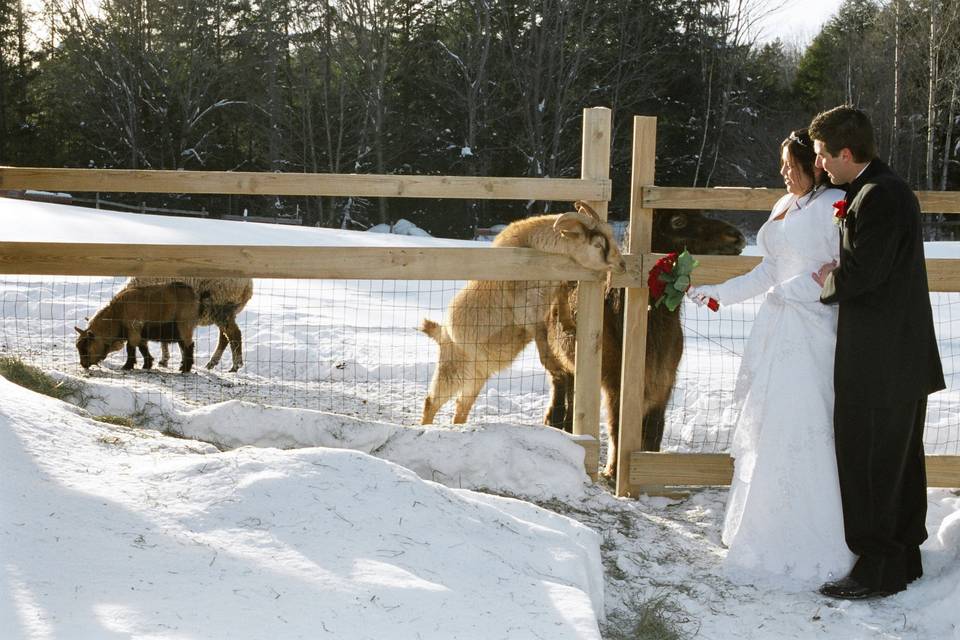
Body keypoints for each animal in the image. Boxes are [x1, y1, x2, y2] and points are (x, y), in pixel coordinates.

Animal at [125, 276, 253, 370]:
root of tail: (248, 285)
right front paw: (170, 360)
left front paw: (166, 360)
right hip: (225, 312)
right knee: (225, 337)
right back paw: (212, 363)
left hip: (221, 307)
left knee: (234, 334)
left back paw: (236, 365)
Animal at [418, 201, 628, 424]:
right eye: (598, 245)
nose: (622, 265)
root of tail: (442, 333)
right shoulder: (527, 312)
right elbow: (542, 341)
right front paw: (556, 368)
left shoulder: (553, 290)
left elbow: (561, 296)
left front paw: (569, 324)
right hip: (453, 368)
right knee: (431, 401)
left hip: (476, 375)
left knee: (460, 408)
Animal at [540, 210, 744, 476]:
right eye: (678, 221)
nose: (737, 236)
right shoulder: (617, 383)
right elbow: (617, 427)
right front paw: (613, 471)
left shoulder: (663, 383)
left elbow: (654, 429)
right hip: (549, 352)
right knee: (559, 382)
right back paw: (554, 422)